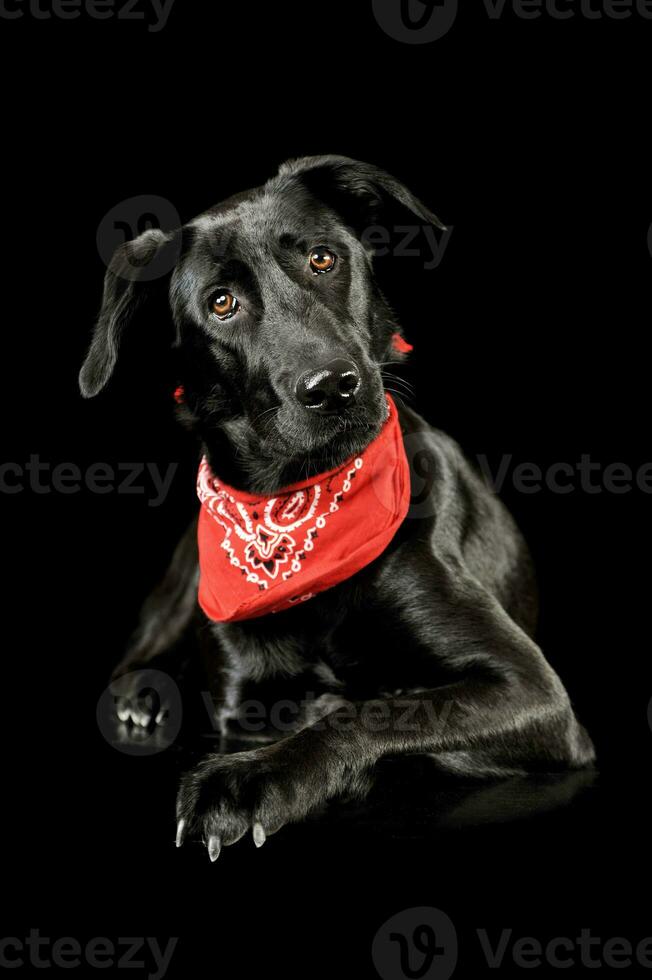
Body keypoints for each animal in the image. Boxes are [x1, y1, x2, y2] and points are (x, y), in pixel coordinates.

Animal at [80, 153, 596, 856]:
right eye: (221, 303)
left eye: (323, 259)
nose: (332, 386)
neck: (303, 508)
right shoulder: (242, 698)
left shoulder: (534, 692)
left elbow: (376, 707)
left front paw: (248, 780)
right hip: (189, 578)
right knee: (144, 642)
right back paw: (143, 694)